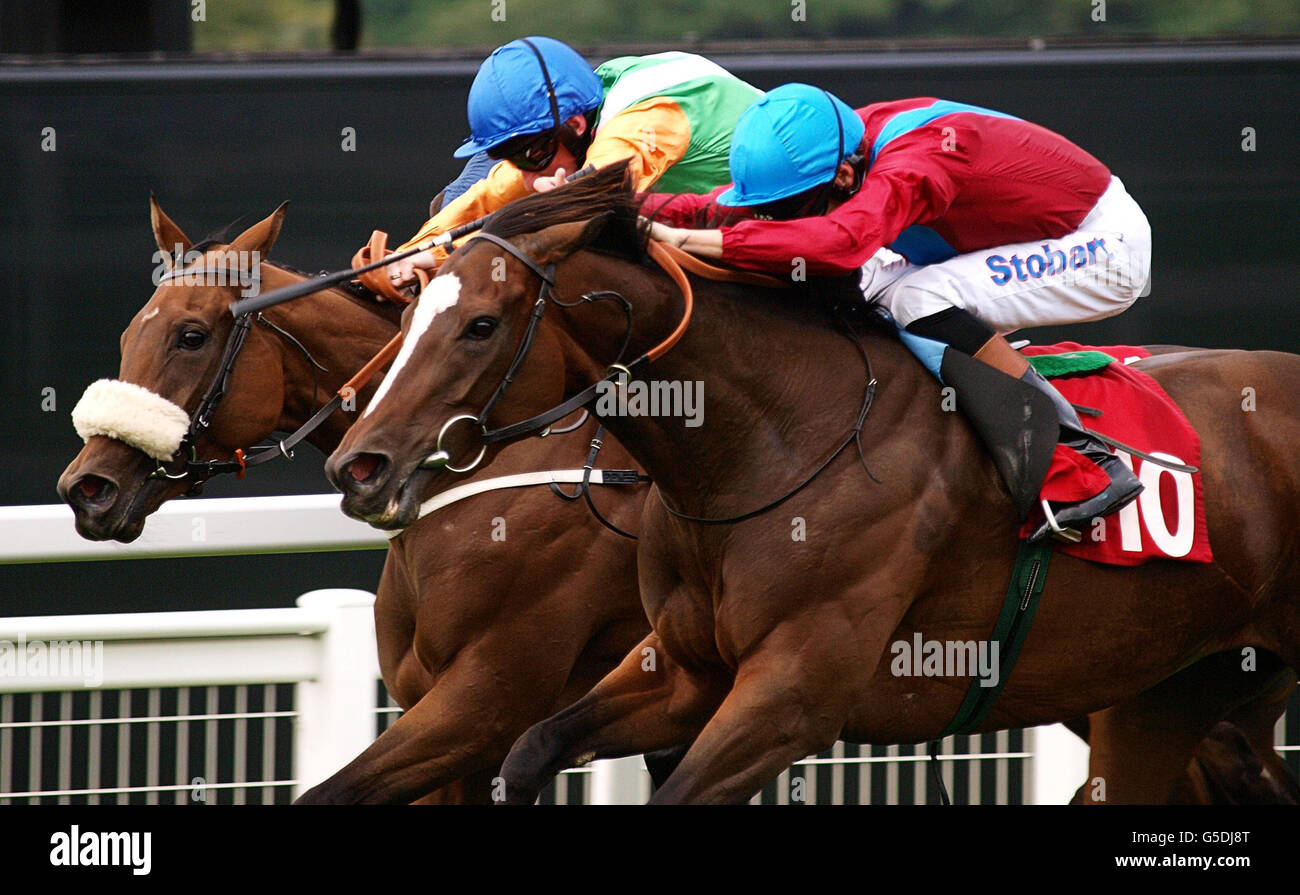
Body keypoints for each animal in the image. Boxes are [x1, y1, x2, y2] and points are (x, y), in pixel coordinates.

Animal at [327, 165, 1300, 806]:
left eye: (481, 326)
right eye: (412, 314)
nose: (358, 464)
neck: (771, 442)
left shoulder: (791, 696)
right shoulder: (682, 672)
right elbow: (530, 750)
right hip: (1173, 689)